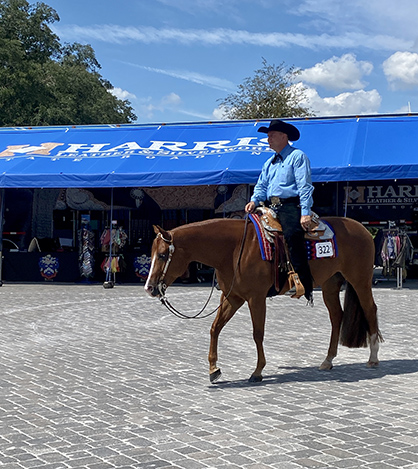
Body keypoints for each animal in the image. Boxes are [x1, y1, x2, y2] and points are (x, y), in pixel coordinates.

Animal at [145, 218, 384, 382]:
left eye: (163, 255)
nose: (150, 288)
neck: (233, 249)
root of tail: (362, 229)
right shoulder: (233, 297)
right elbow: (215, 328)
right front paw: (214, 369)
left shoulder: (255, 298)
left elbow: (257, 333)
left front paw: (258, 370)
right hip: (330, 284)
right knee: (337, 316)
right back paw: (328, 360)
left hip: (360, 280)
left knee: (370, 309)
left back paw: (373, 358)